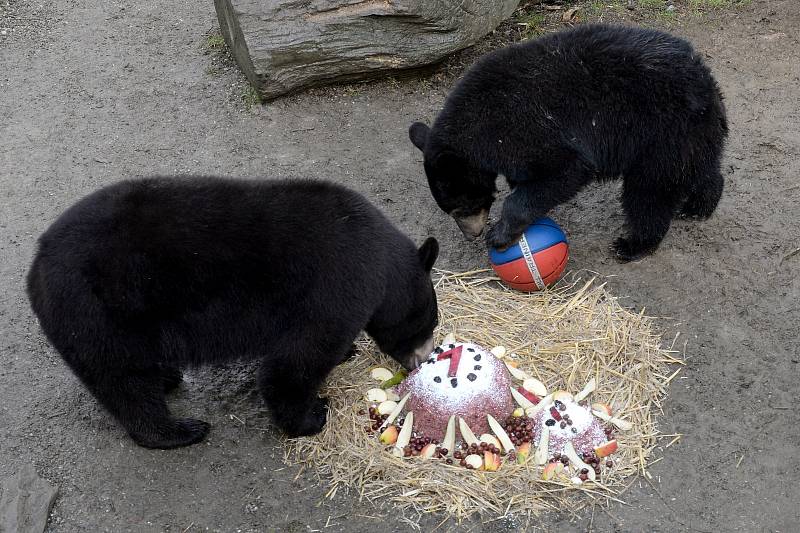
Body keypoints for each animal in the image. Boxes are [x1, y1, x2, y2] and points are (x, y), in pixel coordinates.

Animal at [26, 177, 438, 446]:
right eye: (429, 323)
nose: (421, 360)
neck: (379, 262)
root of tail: (36, 267)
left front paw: (346, 353)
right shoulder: (335, 286)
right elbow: (296, 360)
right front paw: (311, 415)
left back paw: (167, 377)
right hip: (100, 314)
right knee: (123, 380)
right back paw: (179, 430)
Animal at [410, 23, 728, 260]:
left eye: (460, 208)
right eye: (452, 209)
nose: (470, 234)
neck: (479, 123)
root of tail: (705, 79)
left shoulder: (525, 126)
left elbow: (567, 169)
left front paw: (499, 234)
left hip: (660, 131)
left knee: (650, 191)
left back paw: (632, 244)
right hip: (688, 134)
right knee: (695, 167)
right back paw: (699, 205)